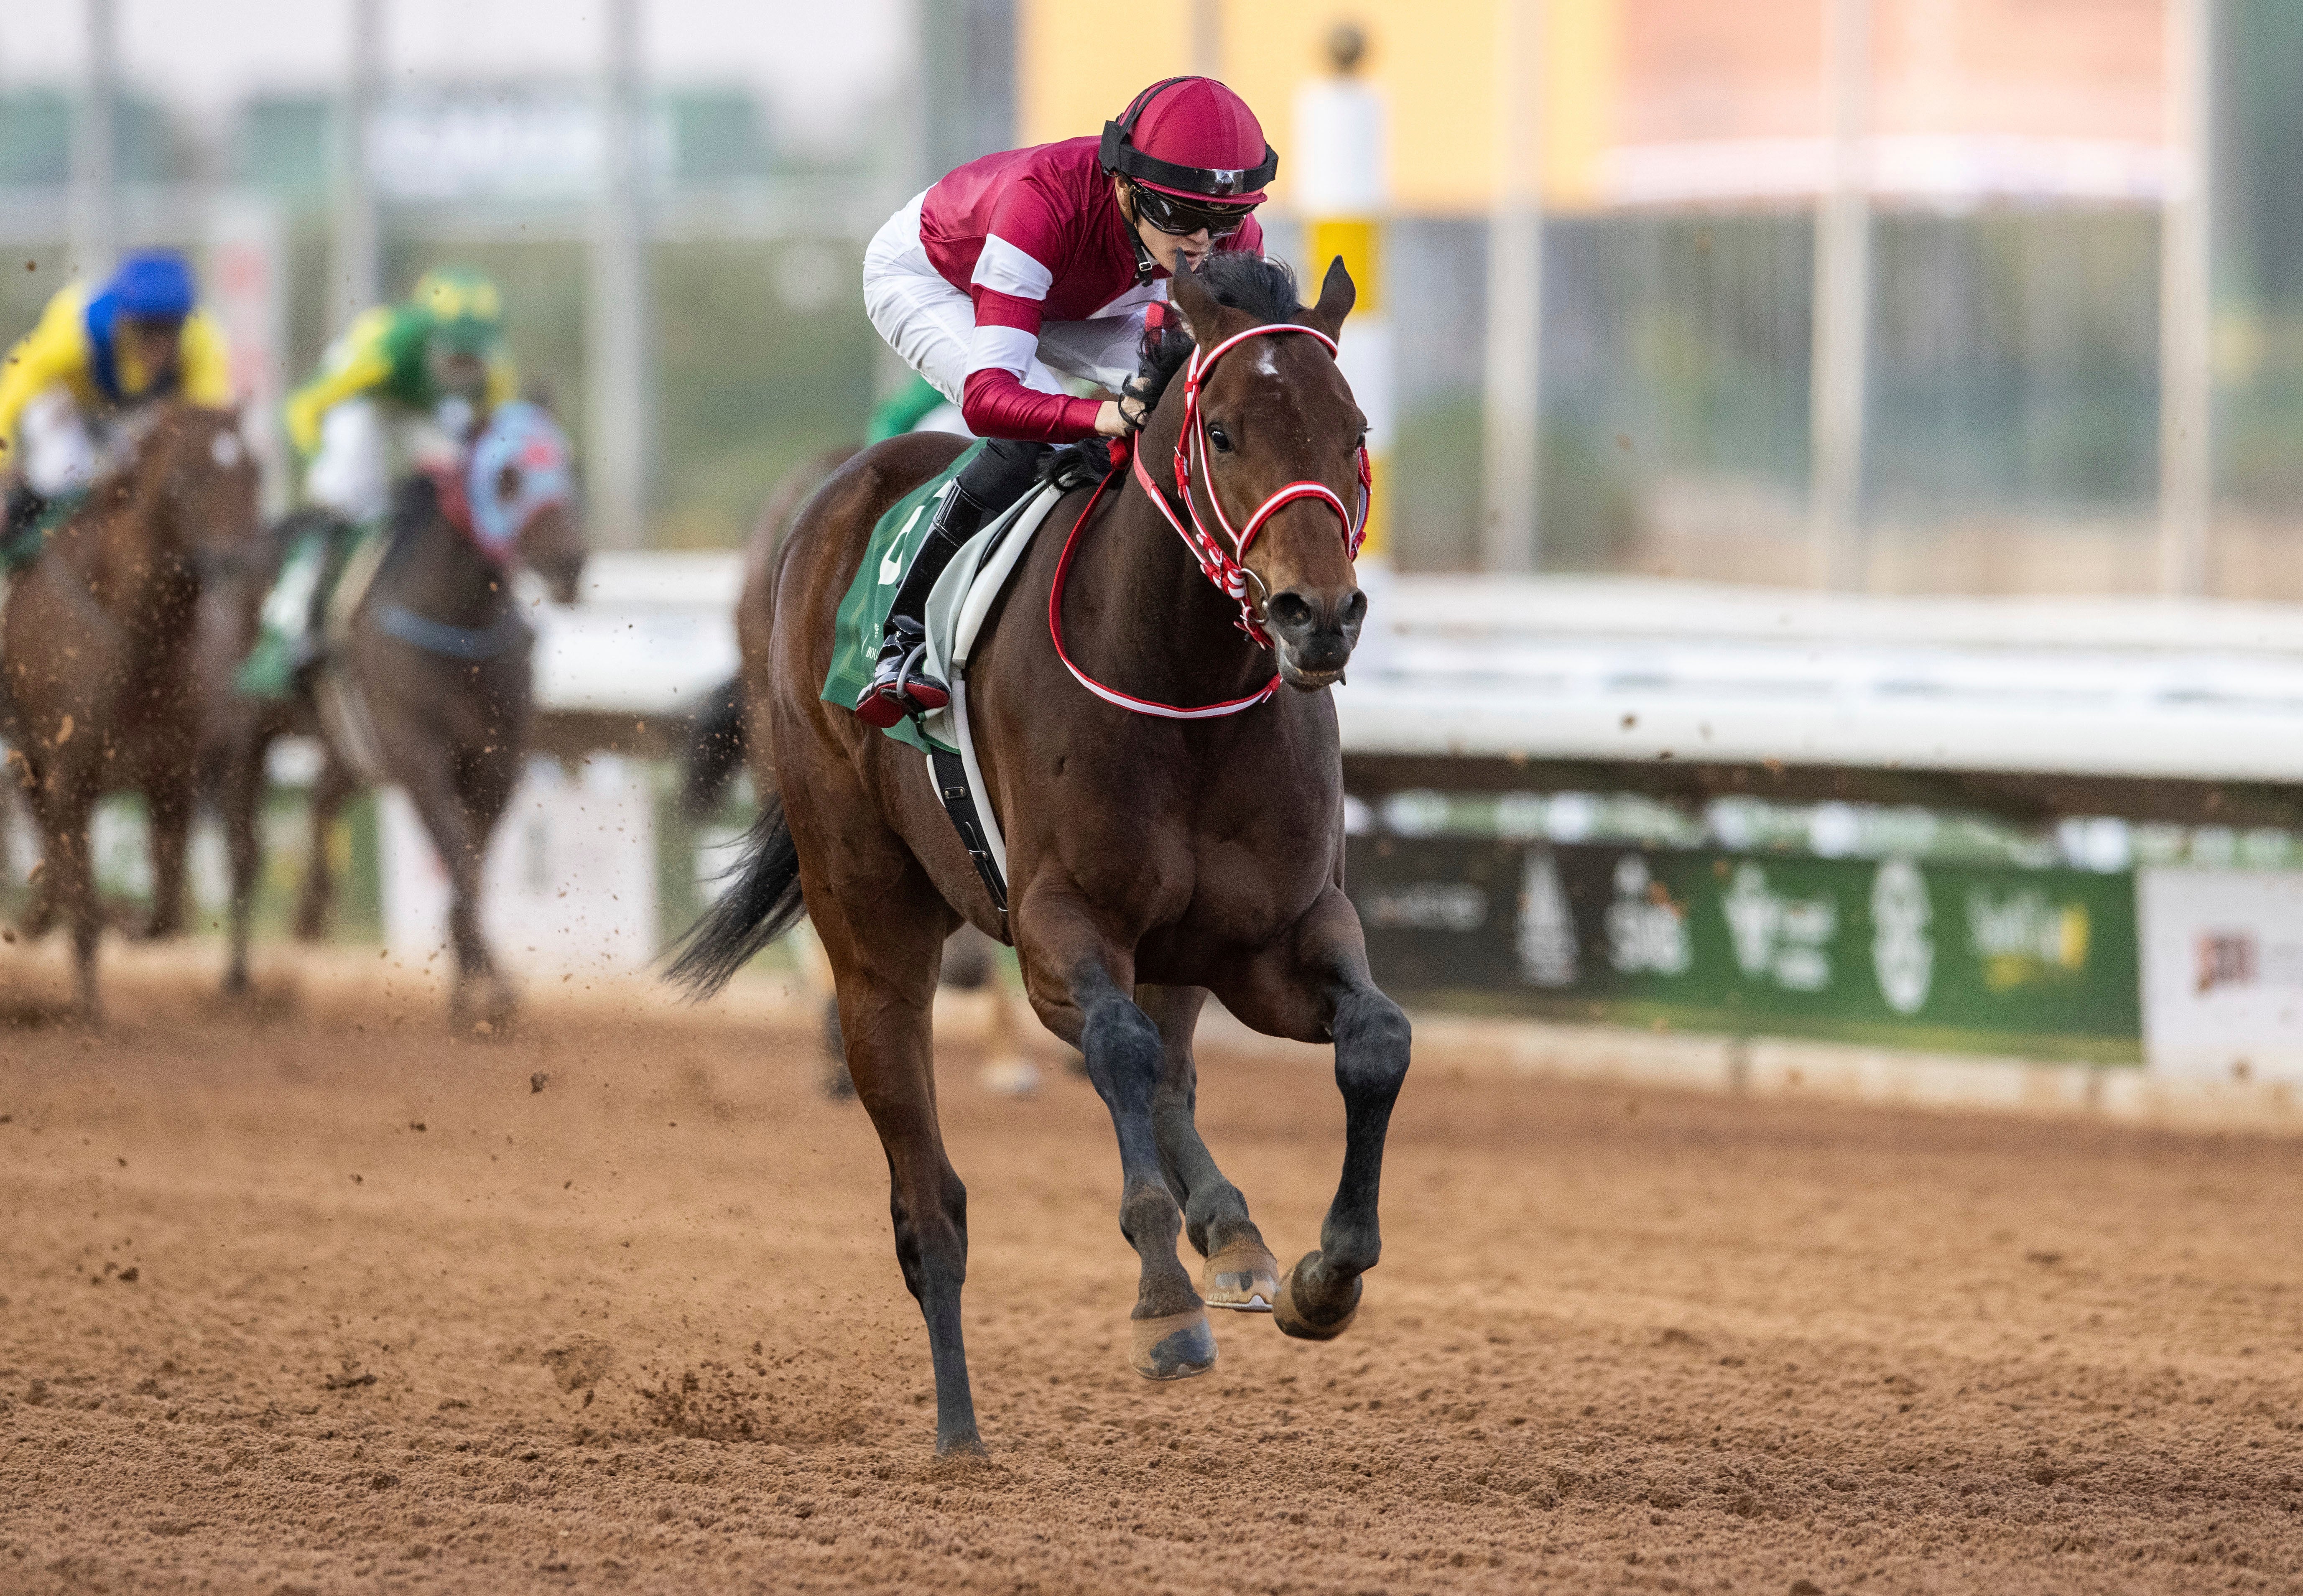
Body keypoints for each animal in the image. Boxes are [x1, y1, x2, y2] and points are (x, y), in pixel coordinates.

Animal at [0, 405, 265, 1013]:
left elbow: (164, 913)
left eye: (256, 473)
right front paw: (90, 1011)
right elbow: (84, 903)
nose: (246, 566)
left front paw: (124, 918)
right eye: (189, 477)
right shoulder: (69, 775)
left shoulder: (173, 778)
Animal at [217, 405, 585, 1027]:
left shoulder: (498, 763)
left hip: (345, 744)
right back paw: (240, 978)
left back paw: (309, 915)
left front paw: (469, 994)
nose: (571, 563)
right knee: (246, 850)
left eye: (568, 465)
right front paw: (494, 988)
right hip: (248, 727)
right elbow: (458, 857)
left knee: (321, 799)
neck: (460, 618)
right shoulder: (419, 755)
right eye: (507, 476)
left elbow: (471, 869)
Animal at [672, 252, 1409, 1455]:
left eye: (1353, 432)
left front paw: (1321, 1275)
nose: (1320, 616)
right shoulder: (1060, 926)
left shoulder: (1277, 933)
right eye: (1223, 433)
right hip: (868, 918)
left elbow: (1375, 1041)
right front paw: (1162, 1304)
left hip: (1175, 945)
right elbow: (1115, 1051)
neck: (1182, 684)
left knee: (1173, 1070)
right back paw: (960, 1431)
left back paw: (1236, 1240)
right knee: (929, 1200)